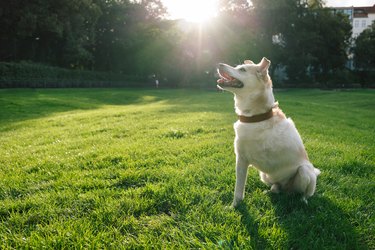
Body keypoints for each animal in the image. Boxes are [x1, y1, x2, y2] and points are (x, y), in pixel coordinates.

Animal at [217, 57, 320, 207]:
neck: (255, 118)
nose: (219, 64)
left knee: (305, 193)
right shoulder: (241, 159)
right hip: (264, 175)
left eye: (242, 69)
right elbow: (239, 189)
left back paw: (303, 201)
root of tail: (287, 190)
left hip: (305, 171)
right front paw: (234, 206)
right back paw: (271, 191)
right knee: (276, 187)